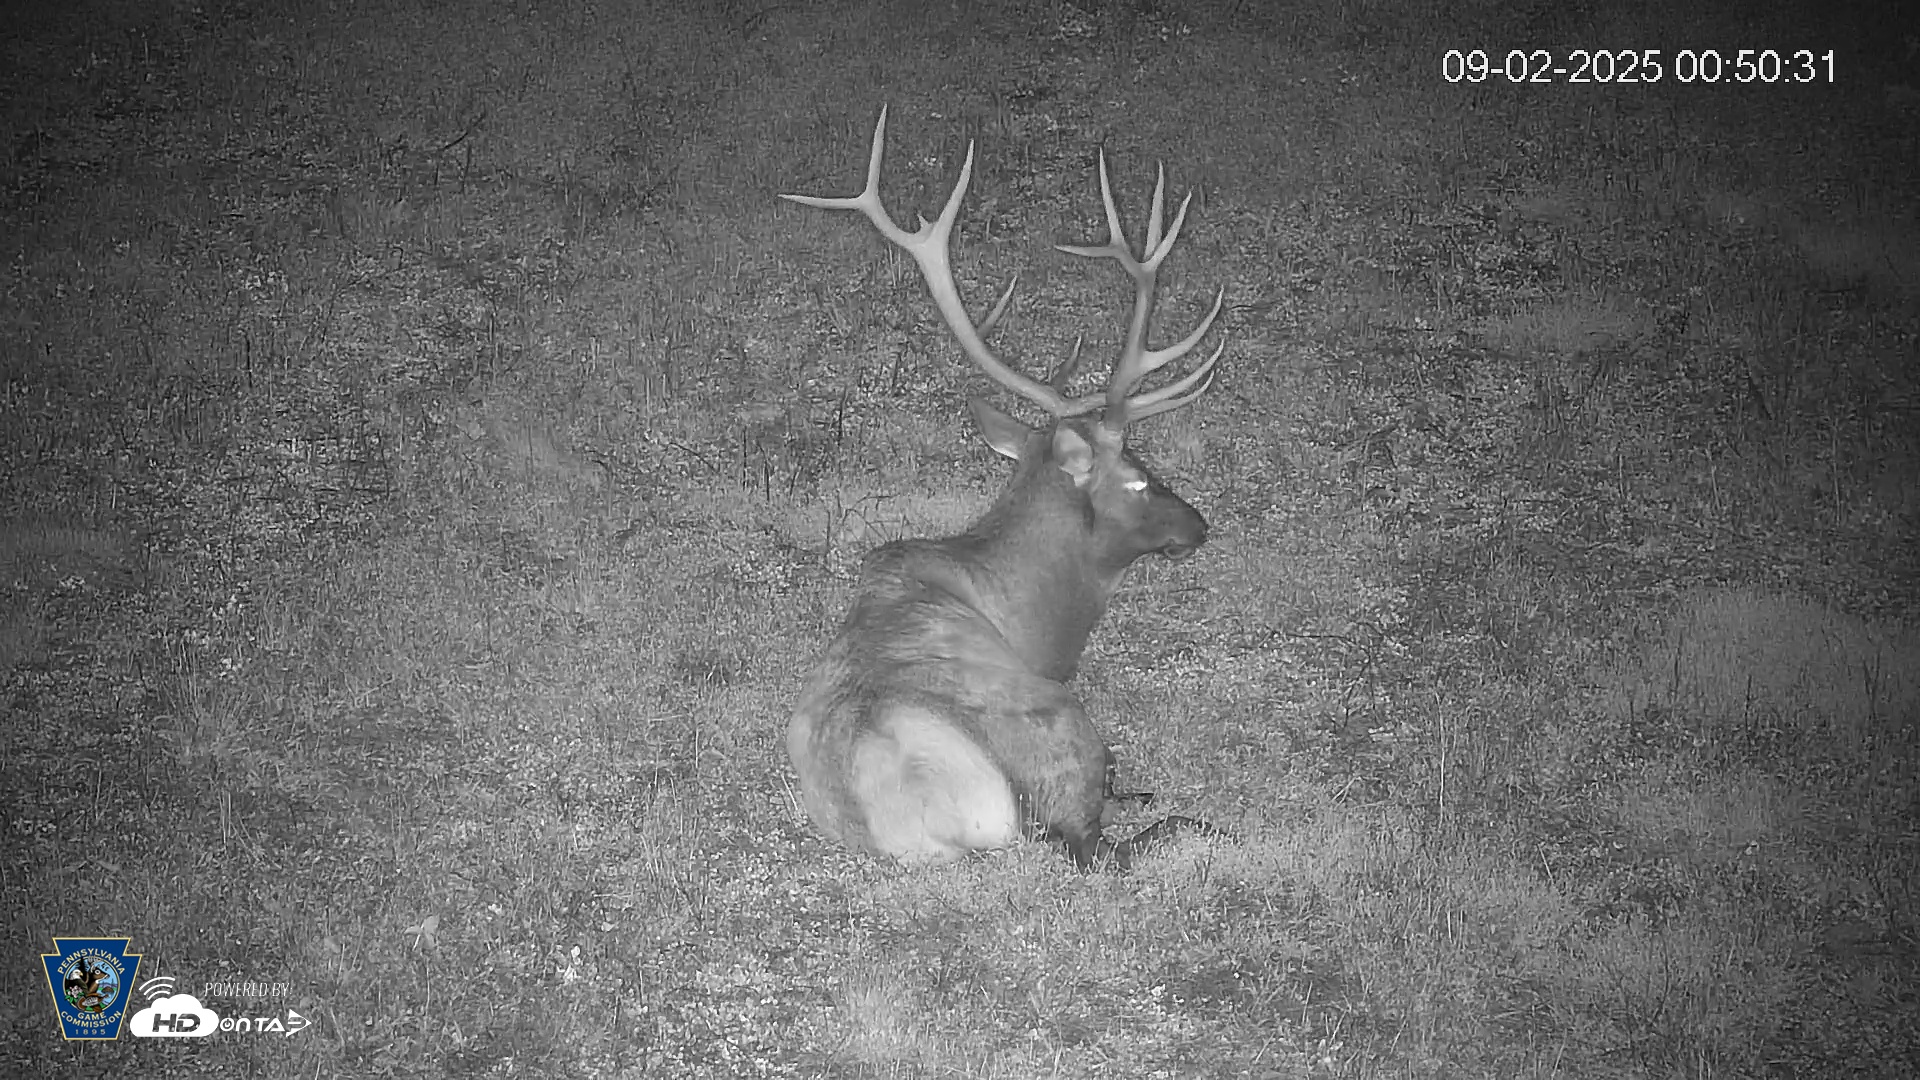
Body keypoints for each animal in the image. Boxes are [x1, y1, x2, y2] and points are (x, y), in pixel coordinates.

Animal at [781, 107, 1226, 870]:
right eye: (1139, 476)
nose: (1197, 524)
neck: (1038, 617)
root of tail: (934, 812)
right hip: (1059, 727)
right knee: (1095, 845)